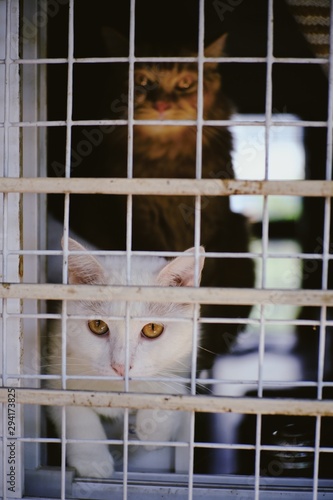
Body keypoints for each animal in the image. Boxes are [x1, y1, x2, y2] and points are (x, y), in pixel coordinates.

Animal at [64, 30, 254, 368]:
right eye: (142, 80)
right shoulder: (141, 218)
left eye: (185, 83)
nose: (163, 103)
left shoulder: (210, 221)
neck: (166, 164)